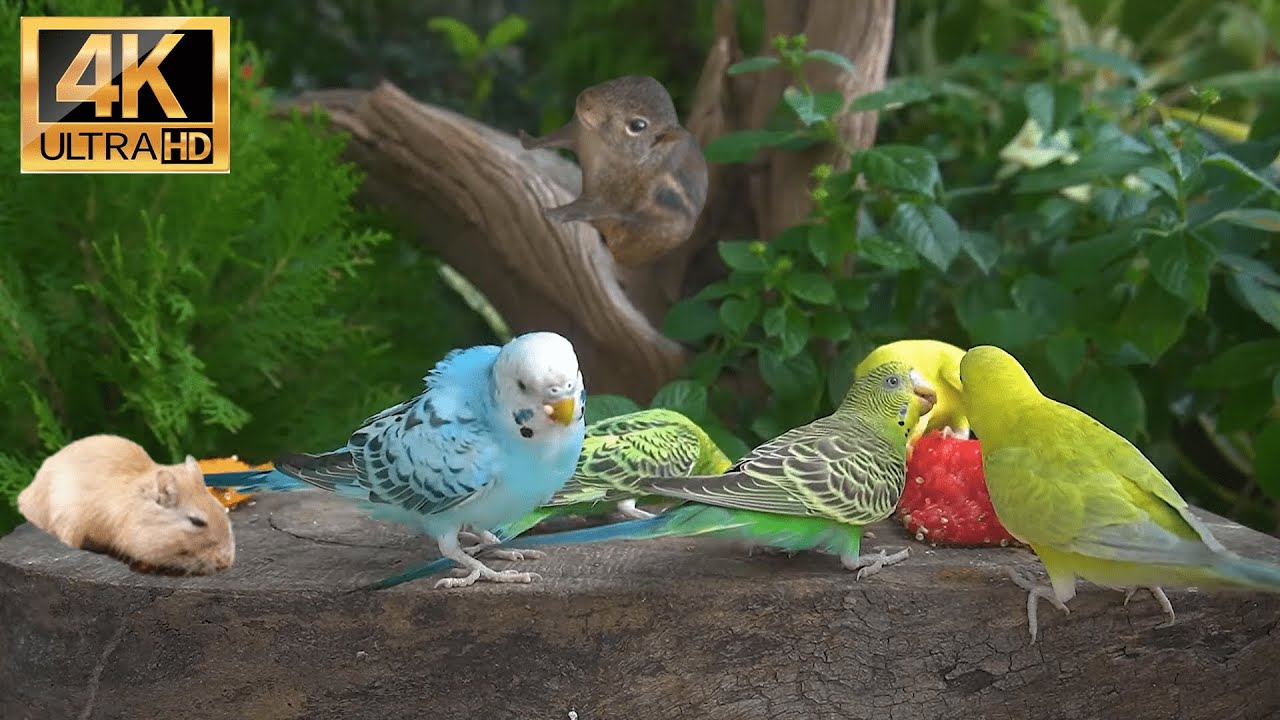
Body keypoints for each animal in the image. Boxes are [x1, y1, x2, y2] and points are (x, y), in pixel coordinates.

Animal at [519, 75, 708, 267]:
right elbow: (554, 138)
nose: (586, 99)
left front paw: (550, 213)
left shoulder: (615, 199)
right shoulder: (578, 132)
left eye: (638, 125)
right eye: (625, 78)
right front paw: (528, 139)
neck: (602, 148)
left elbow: (582, 208)